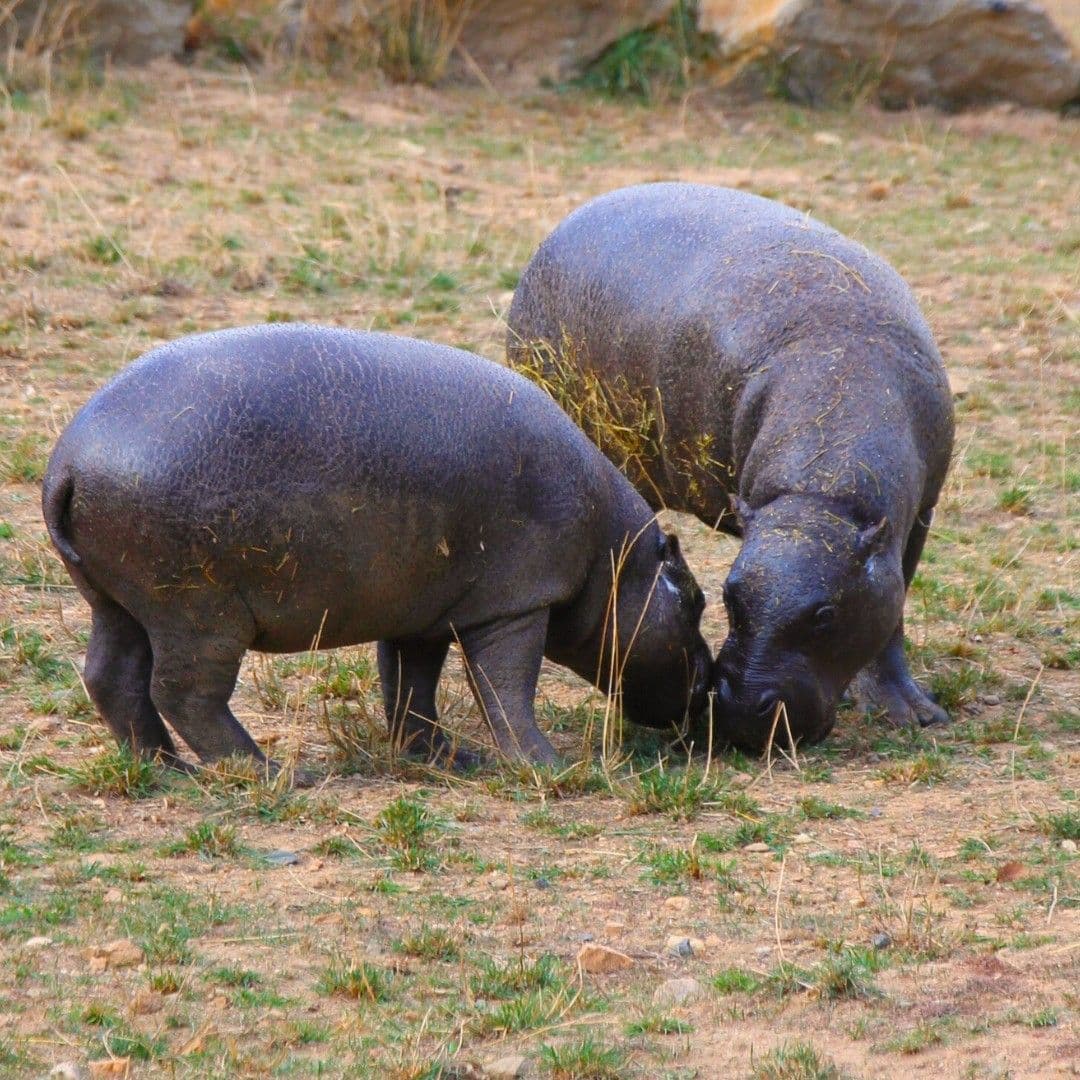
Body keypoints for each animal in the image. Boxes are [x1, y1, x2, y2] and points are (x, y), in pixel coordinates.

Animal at [44, 324, 717, 773]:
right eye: (696, 601)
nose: (713, 685)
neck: (618, 557)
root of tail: (68, 460)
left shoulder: (423, 610)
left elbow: (410, 690)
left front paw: (446, 759)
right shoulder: (516, 603)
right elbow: (505, 688)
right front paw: (549, 766)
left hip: (117, 602)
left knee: (112, 677)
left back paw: (165, 770)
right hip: (198, 610)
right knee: (185, 692)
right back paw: (270, 772)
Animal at [505, 183, 954, 751]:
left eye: (825, 614)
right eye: (729, 596)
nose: (738, 710)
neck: (819, 496)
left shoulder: (915, 518)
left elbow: (892, 614)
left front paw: (913, 715)